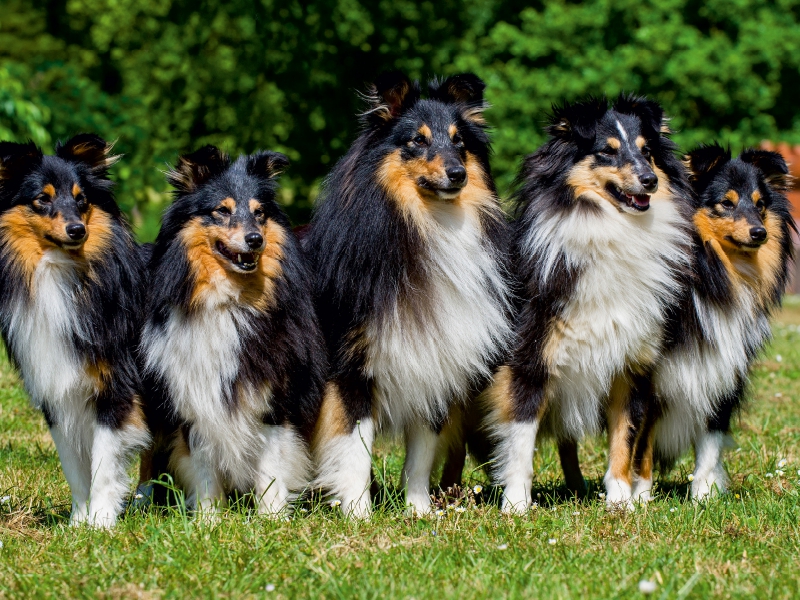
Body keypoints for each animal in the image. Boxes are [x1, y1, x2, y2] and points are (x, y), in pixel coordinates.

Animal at [0, 135, 150, 524]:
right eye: (42, 198)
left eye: (81, 199)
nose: (77, 230)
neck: (59, 270)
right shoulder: (56, 390)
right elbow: (73, 464)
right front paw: (77, 522)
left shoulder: (116, 387)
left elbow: (104, 463)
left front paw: (100, 522)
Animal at [141, 146, 324, 516]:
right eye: (221, 211)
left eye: (260, 212)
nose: (255, 240)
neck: (229, 302)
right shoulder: (193, 397)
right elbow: (204, 467)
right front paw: (208, 519)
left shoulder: (274, 398)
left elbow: (271, 466)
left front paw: (272, 518)